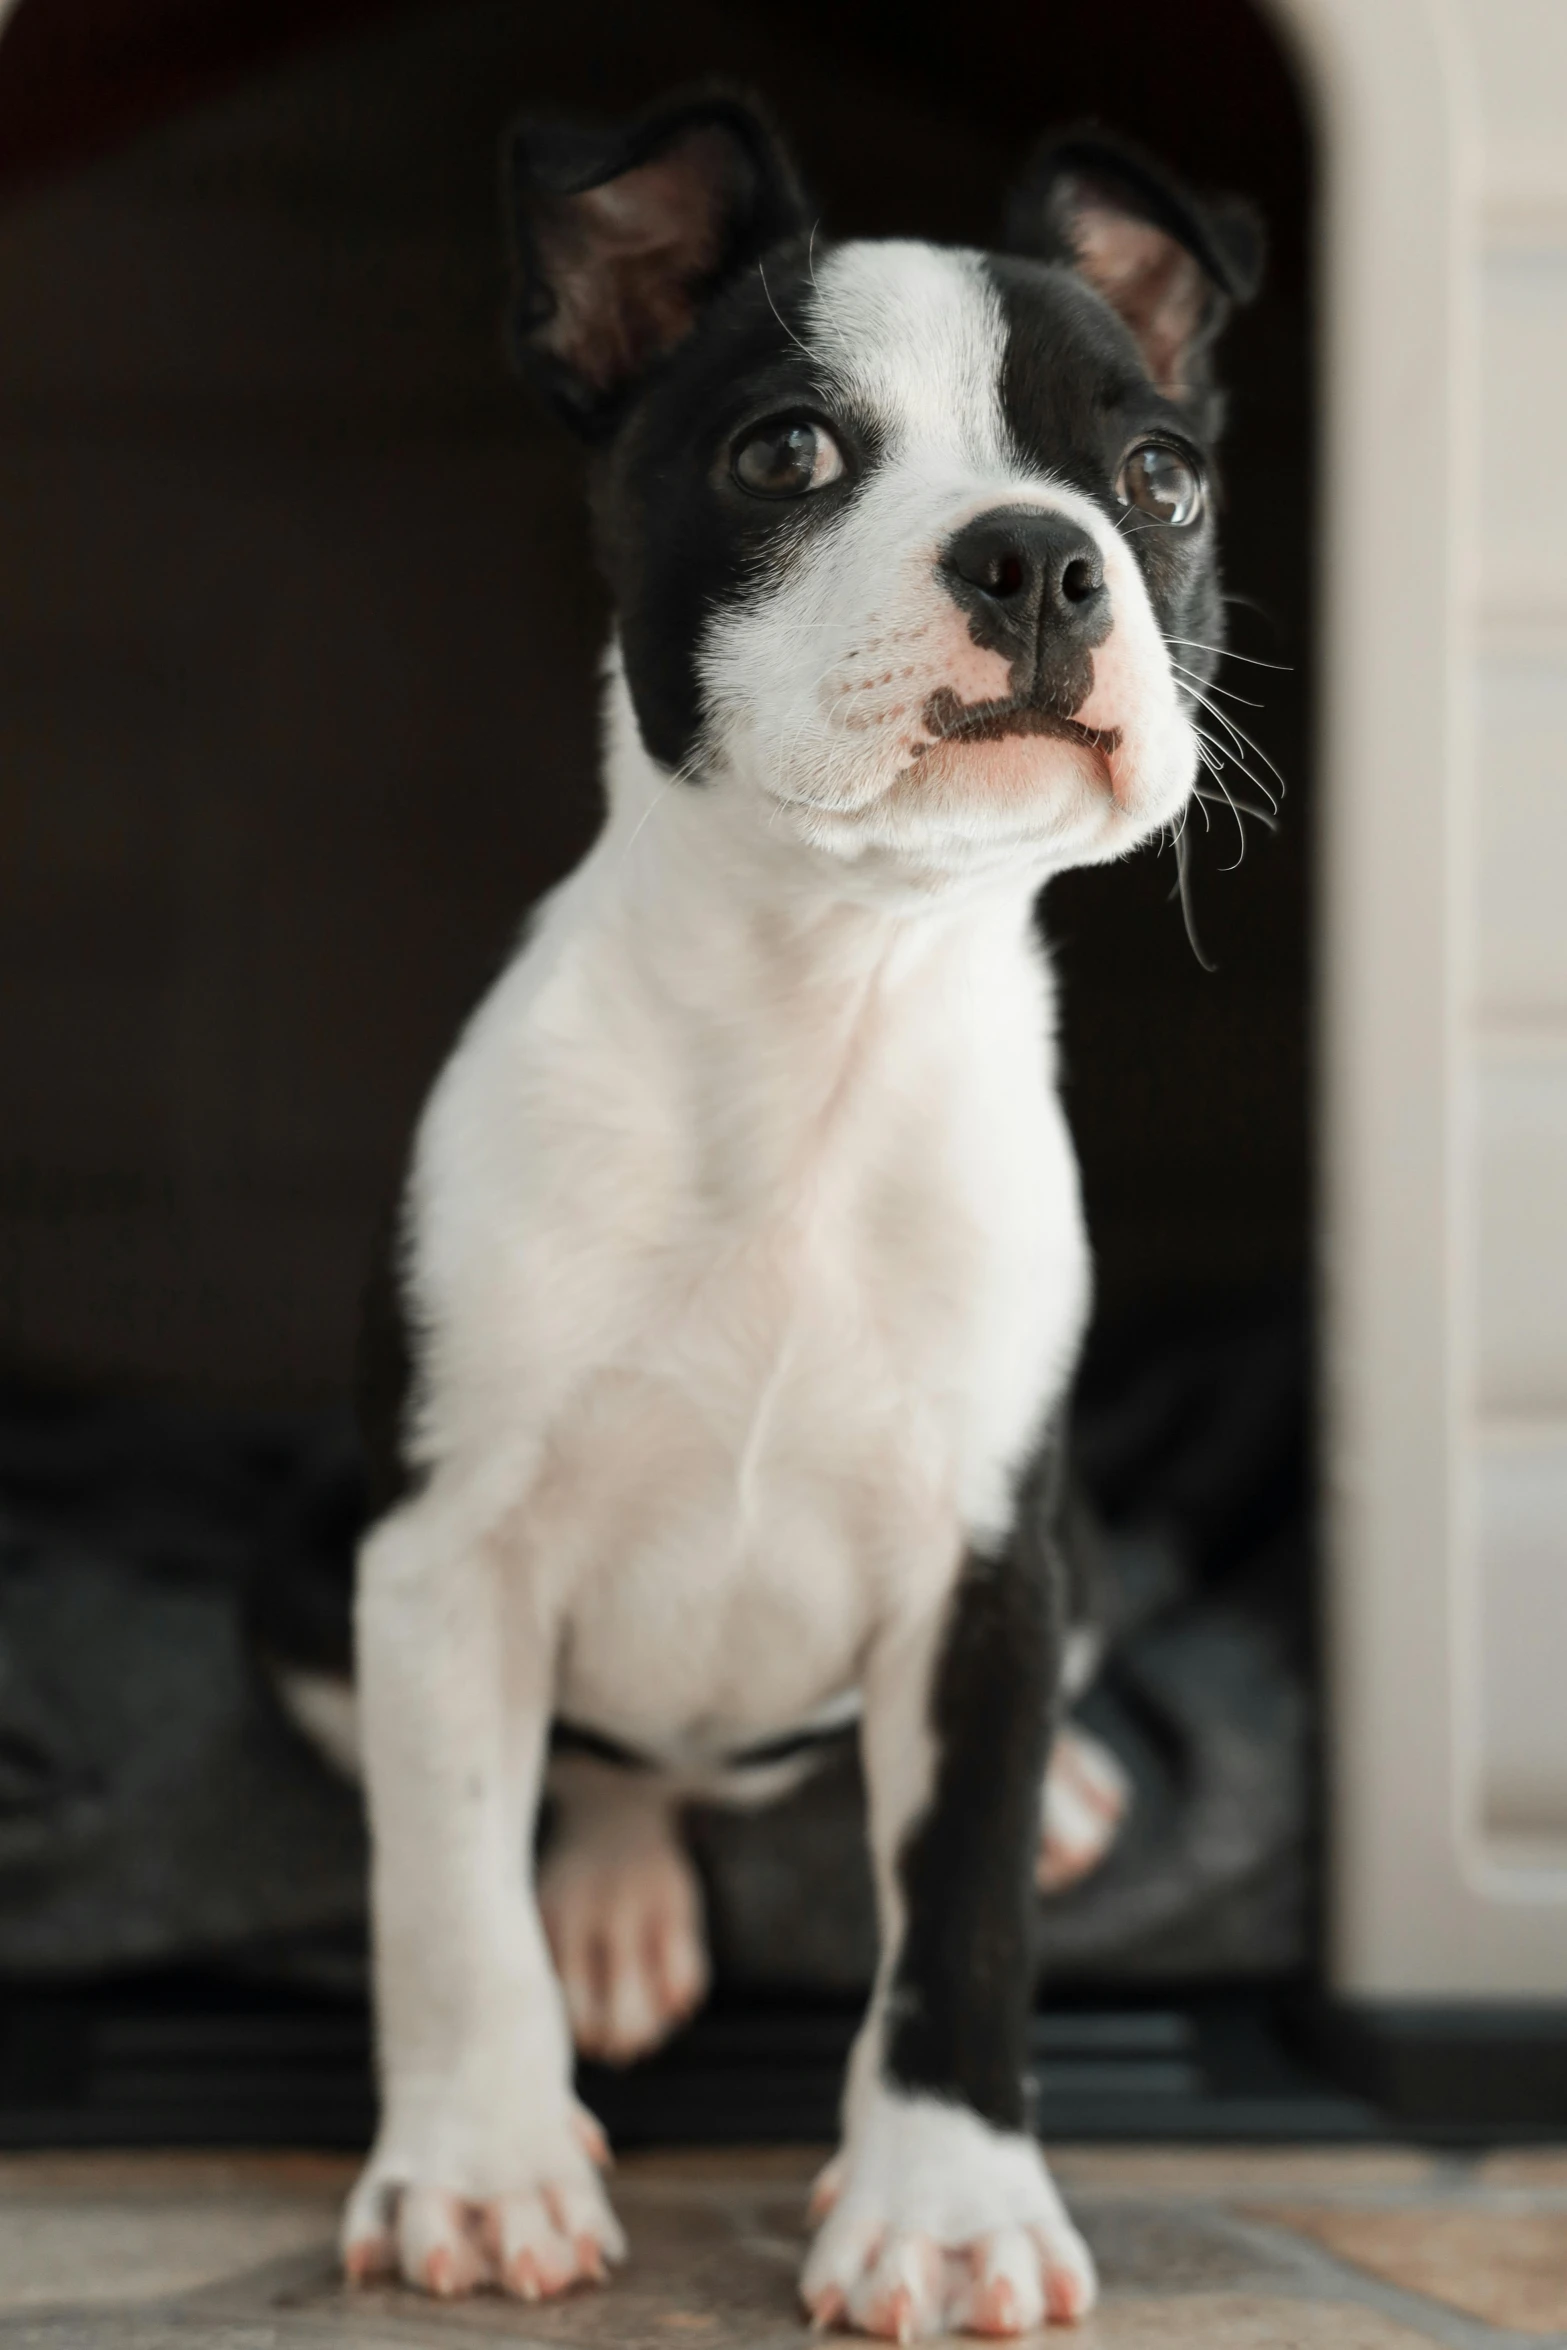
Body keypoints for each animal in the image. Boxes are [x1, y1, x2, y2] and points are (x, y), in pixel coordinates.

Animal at [340, 86, 1259, 2331]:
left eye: (1159, 479)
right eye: (781, 457)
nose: (1036, 551)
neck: (824, 1000)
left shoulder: (985, 1576)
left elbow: (961, 1921)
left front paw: (946, 2204)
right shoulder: (432, 1563)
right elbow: (447, 1888)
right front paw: (479, 2169)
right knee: (605, 1774)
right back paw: (608, 1904)